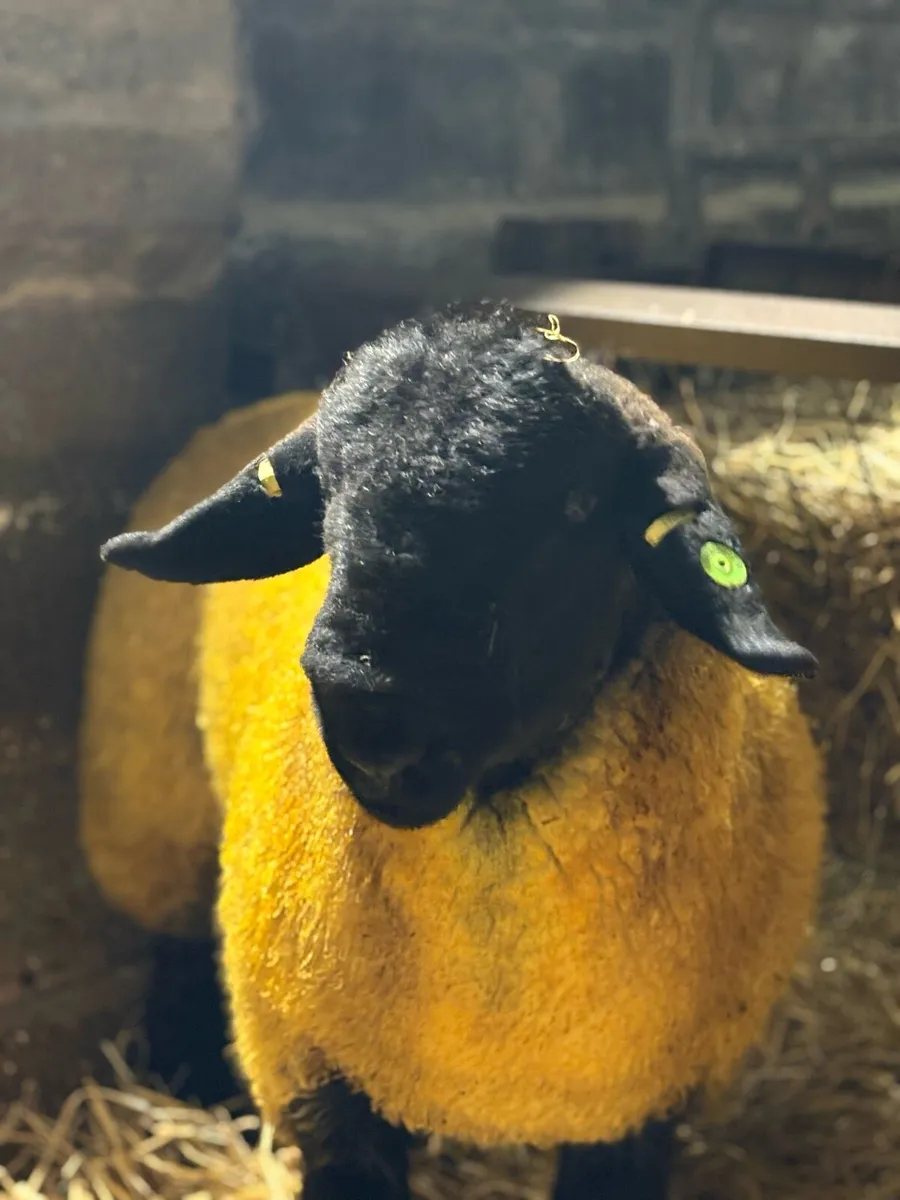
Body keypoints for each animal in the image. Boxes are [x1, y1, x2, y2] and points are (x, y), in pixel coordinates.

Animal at [80, 303, 825, 1200]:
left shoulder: (641, 1105)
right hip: (155, 802)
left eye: (577, 507)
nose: (364, 709)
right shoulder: (320, 1075)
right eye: (328, 491)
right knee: (178, 939)